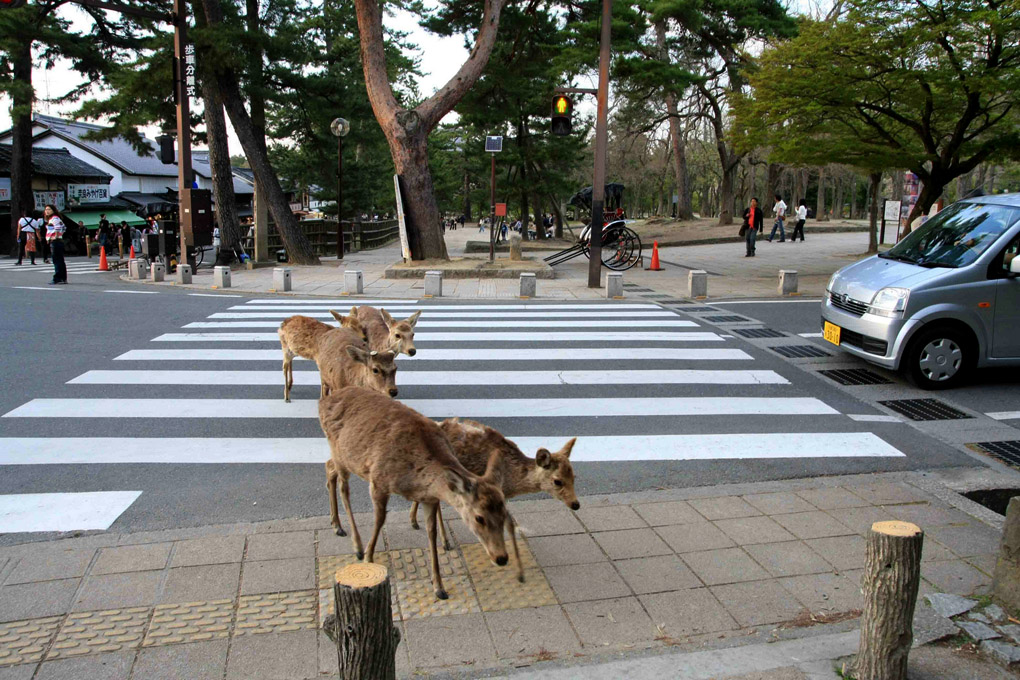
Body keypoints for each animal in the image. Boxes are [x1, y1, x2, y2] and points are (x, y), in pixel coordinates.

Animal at [318, 387, 510, 599]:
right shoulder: (378, 480)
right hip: (339, 450)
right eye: (479, 518)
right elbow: (379, 520)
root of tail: (323, 401)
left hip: (343, 457)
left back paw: (336, 525)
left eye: (504, 514)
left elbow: (431, 532)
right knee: (343, 487)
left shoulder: (430, 498)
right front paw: (368, 557)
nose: (502, 558)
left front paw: (439, 586)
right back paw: (357, 545)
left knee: (329, 468)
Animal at [408, 417, 583, 583]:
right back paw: (444, 541)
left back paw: (415, 521)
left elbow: (510, 524)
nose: (575, 504)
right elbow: (510, 524)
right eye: (558, 481)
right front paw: (519, 573)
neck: (510, 480)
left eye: (574, 477)